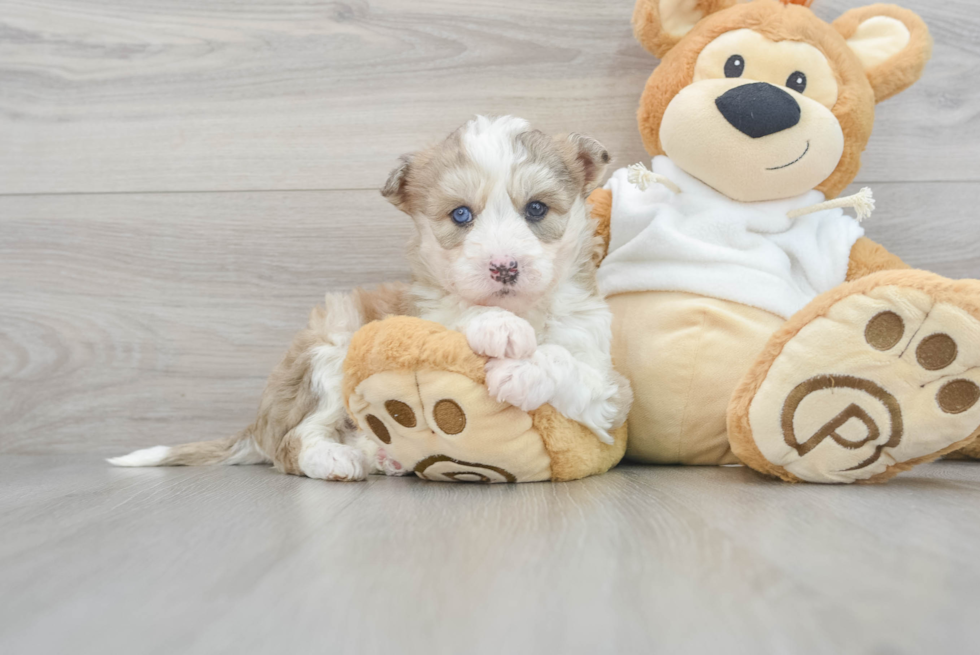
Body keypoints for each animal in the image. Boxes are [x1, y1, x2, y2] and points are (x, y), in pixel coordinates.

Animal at [111, 115, 632, 480]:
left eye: (537, 209)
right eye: (461, 215)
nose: (504, 267)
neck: (524, 308)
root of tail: (258, 424)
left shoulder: (610, 392)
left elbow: (574, 370)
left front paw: (524, 370)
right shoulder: (418, 311)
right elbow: (452, 317)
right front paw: (496, 326)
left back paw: (385, 455)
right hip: (330, 345)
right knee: (293, 443)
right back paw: (334, 459)